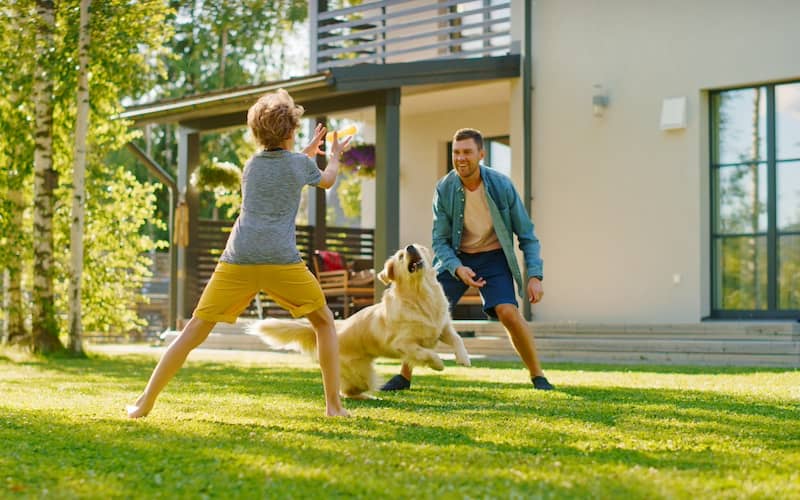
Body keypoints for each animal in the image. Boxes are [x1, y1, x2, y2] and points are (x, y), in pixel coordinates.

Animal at [248, 244, 468, 396]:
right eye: (400, 256)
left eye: (416, 247)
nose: (409, 247)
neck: (420, 295)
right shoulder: (402, 344)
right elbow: (425, 353)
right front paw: (438, 364)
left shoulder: (442, 327)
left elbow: (457, 339)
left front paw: (464, 359)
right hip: (360, 374)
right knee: (348, 391)